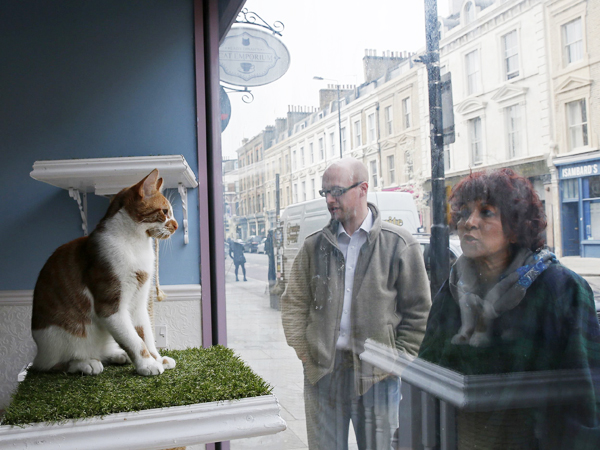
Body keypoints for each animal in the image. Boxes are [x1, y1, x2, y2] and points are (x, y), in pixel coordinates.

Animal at [31, 169, 176, 376]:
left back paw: (117, 355)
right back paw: (87, 363)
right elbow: (134, 340)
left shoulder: (139, 303)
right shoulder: (110, 307)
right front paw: (147, 364)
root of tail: (39, 353)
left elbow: (146, 334)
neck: (136, 245)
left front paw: (157, 358)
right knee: (55, 365)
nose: (177, 225)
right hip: (60, 337)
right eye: (165, 212)